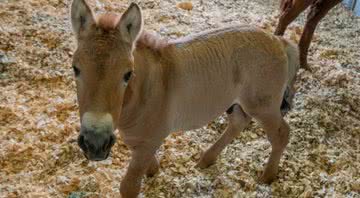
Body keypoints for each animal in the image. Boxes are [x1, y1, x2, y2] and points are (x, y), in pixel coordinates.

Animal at [70, 0, 300, 197]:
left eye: (128, 74)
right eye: (75, 69)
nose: (95, 143)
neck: (147, 90)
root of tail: (279, 41)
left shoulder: (150, 139)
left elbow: (129, 186)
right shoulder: (137, 138)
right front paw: (153, 171)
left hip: (262, 106)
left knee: (281, 134)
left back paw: (267, 176)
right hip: (238, 103)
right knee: (238, 122)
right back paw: (207, 159)